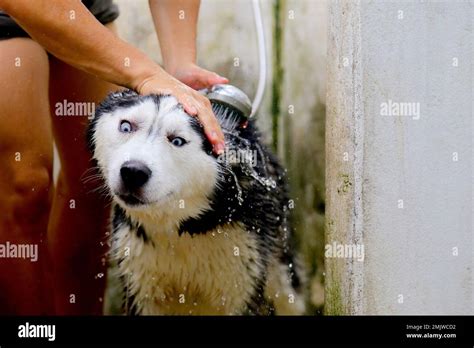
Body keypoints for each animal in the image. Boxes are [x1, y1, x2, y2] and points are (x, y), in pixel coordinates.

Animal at [87, 89, 306, 316]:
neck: (185, 228)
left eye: (177, 141)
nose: (133, 172)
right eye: (126, 126)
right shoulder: (140, 285)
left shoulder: (242, 284)